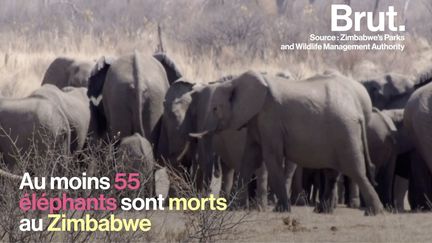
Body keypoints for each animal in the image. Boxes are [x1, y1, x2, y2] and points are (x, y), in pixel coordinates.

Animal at [191, 70, 384, 215]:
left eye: (215, 108)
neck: (236, 81)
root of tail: (359, 114)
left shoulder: (270, 118)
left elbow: (271, 157)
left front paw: (282, 210)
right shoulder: (256, 119)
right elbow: (250, 157)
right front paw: (234, 208)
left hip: (345, 134)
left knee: (356, 170)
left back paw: (374, 212)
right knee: (333, 173)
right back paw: (322, 211)